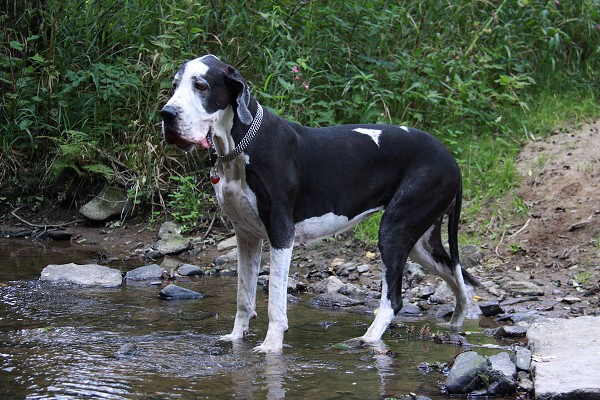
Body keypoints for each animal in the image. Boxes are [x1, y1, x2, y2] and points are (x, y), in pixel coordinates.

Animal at [161, 54, 478, 354]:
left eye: (201, 86)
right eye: (175, 86)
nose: (166, 114)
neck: (239, 146)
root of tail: (451, 160)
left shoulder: (281, 233)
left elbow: (275, 301)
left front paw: (271, 346)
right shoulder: (246, 236)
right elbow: (244, 296)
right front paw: (236, 338)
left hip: (394, 230)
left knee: (393, 300)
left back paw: (368, 339)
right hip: (421, 243)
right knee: (458, 281)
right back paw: (456, 323)